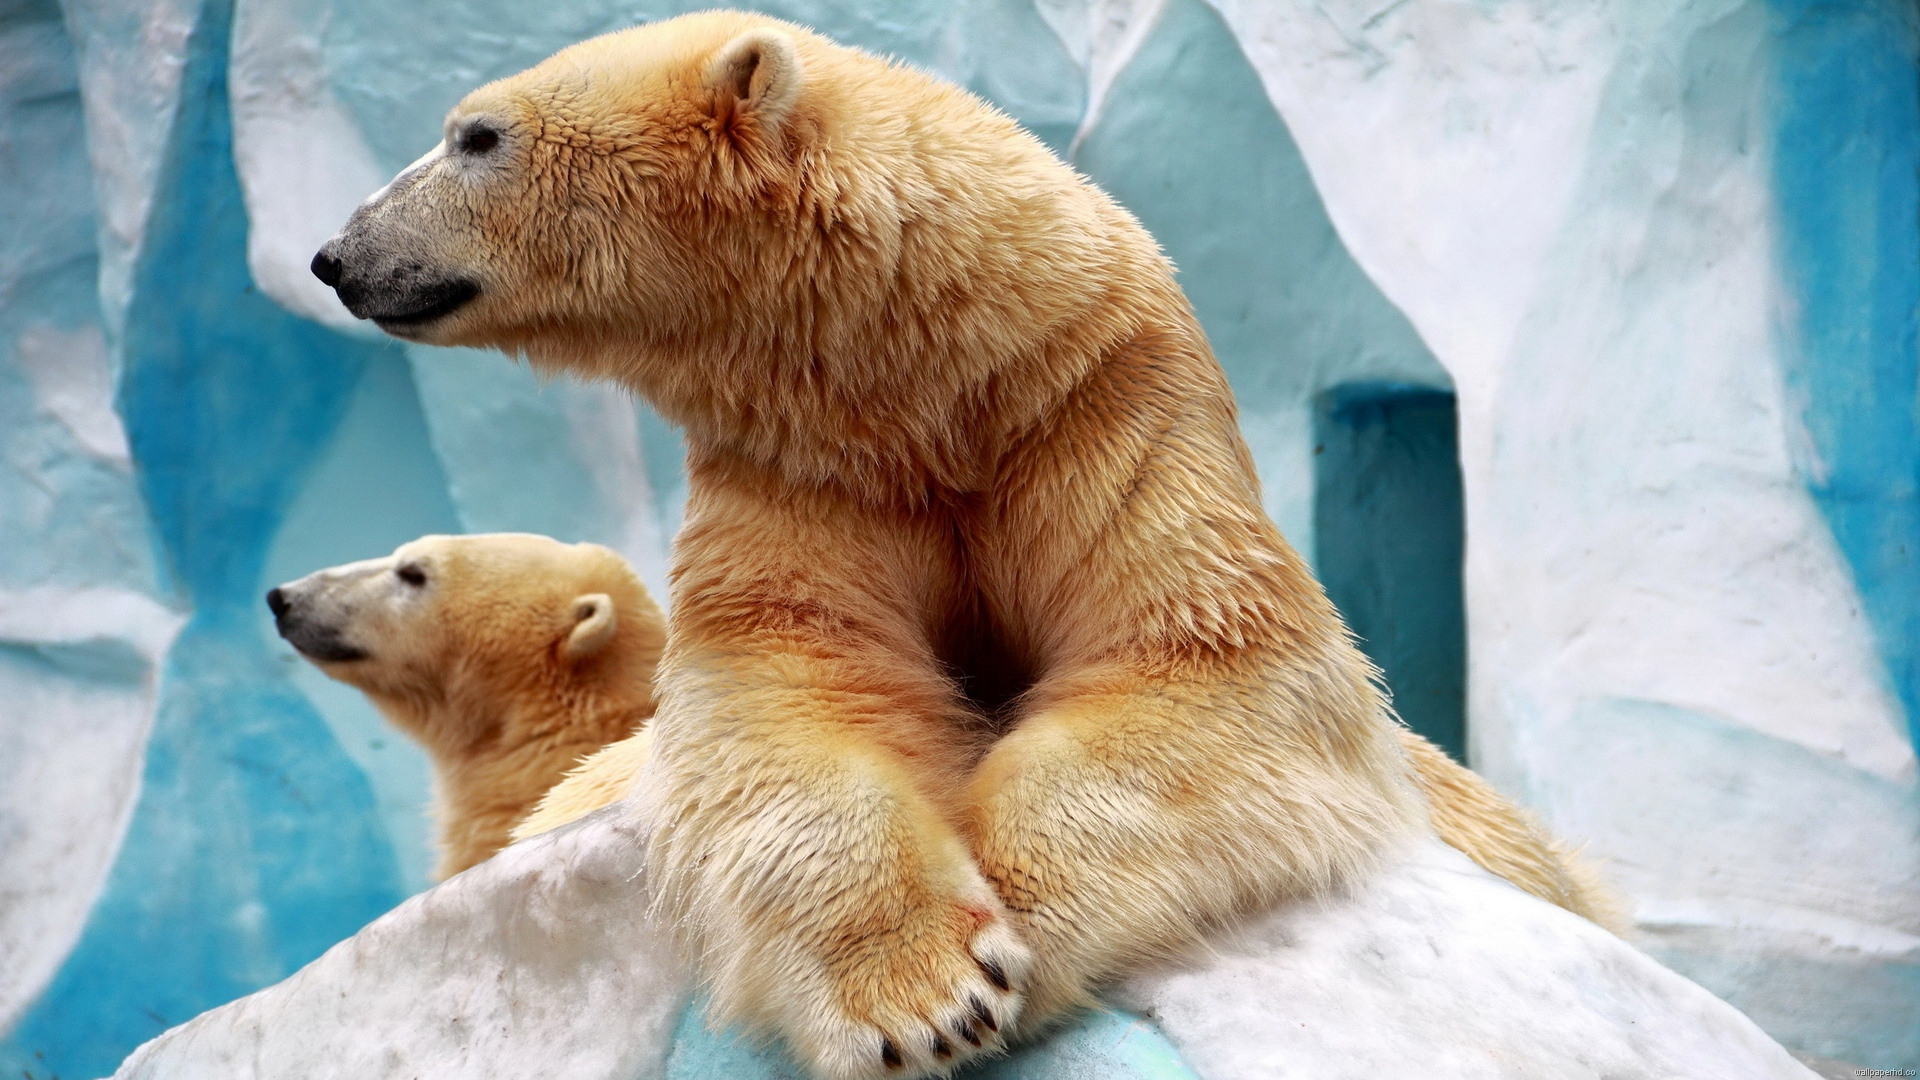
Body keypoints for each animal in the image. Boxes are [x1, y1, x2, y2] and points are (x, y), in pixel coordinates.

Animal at [314, 12, 1597, 1068]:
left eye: (474, 136)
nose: (335, 254)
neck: (932, 378)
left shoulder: (1096, 403)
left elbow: (1196, 654)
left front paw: (1006, 931)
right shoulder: (808, 461)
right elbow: (789, 690)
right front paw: (923, 991)